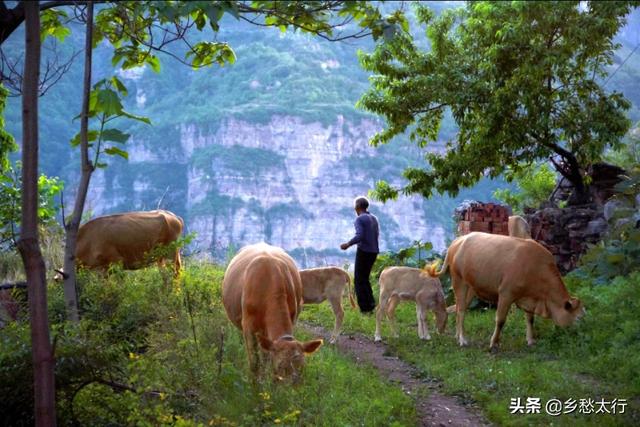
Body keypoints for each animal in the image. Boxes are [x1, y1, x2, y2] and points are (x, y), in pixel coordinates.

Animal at [54, 209, 182, 280]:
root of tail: (174, 217)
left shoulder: (116, 262)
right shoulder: (102, 269)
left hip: (170, 253)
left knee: (174, 274)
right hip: (162, 257)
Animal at [222, 242, 322, 382]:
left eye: (302, 367)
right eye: (280, 366)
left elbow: (267, 358)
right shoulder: (248, 327)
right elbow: (254, 363)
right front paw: (255, 385)